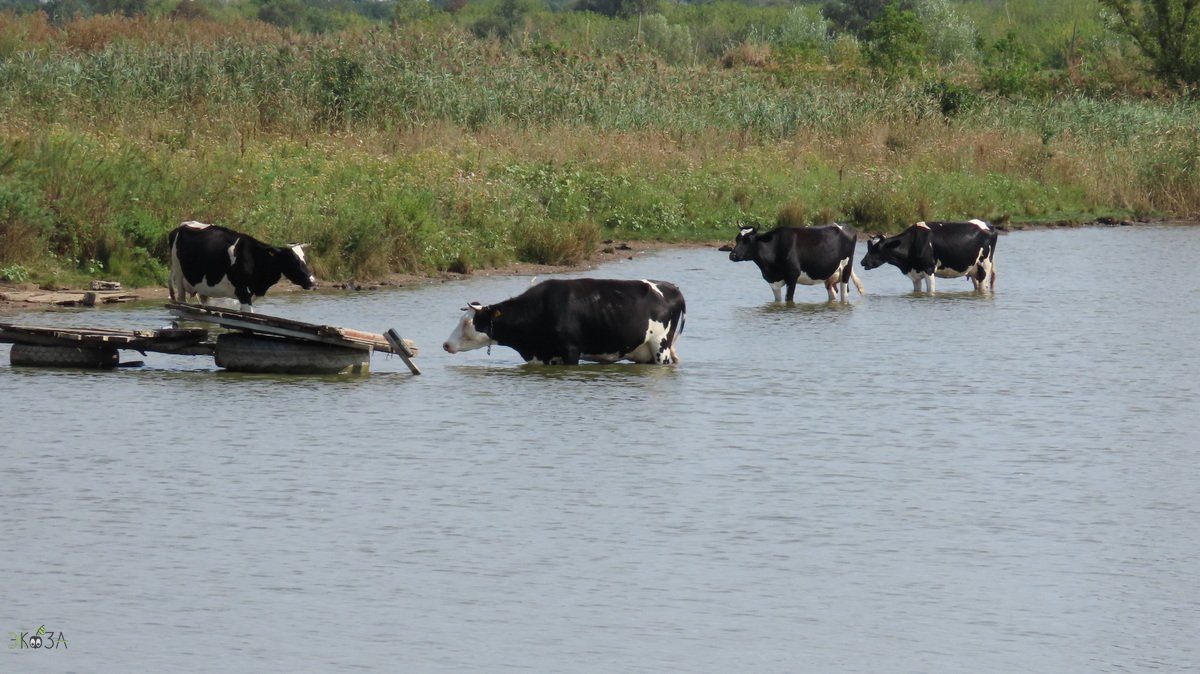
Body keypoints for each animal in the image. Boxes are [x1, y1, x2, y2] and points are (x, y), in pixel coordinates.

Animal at [171, 221, 319, 314]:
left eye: (306, 259)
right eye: (293, 261)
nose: (312, 282)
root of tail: (183, 225)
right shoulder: (242, 291)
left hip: (203, 287)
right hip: (178, 276)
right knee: (180, 300)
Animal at [859, 218, 998, 291]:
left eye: (878, 248)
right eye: (869, 246)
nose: (862, 262)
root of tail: (989, 225)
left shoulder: (929, 269)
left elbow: (930, 291)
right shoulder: (915, 275)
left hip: (985, 266)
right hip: (974, 270)